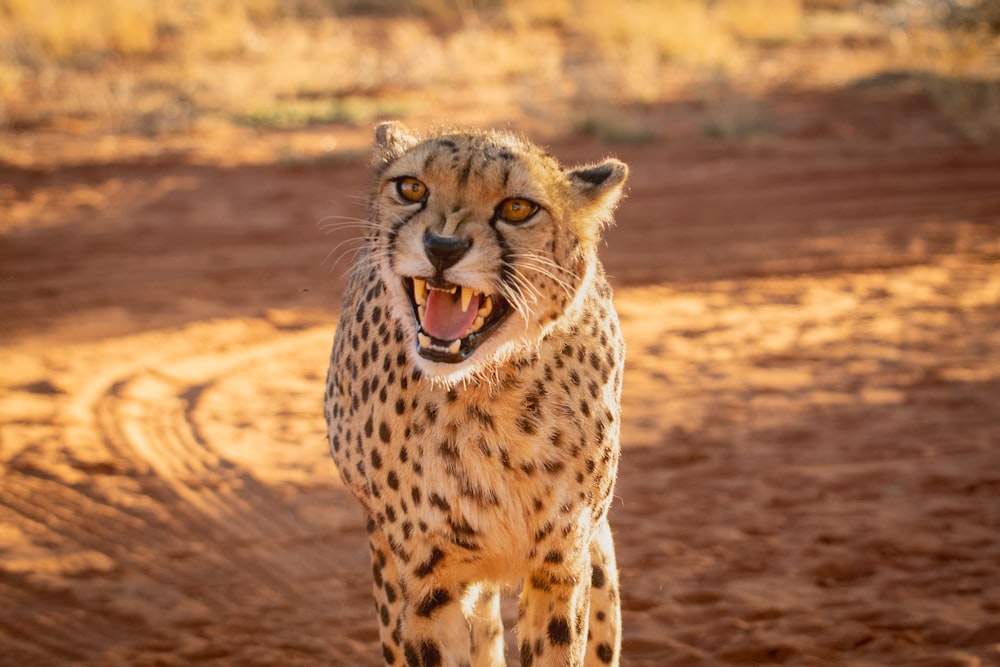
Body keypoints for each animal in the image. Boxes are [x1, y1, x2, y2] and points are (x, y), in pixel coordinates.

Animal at [326, 121, 624, 667]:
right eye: (412, 188)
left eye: (517, 208)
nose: (443, 247)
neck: (487, 388)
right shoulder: (427, 579)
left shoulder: (561, 565)